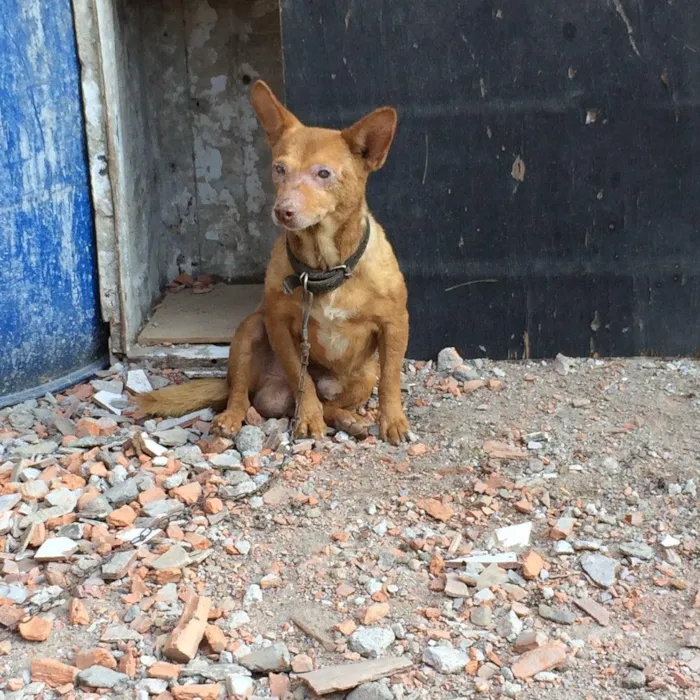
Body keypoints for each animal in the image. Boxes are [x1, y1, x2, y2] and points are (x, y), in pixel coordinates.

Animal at [137, 80, 410, 442]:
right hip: (249, 331)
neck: (323, 267)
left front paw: (393, 421)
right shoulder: (279, 325)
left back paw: (348, 419)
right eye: (280, 169)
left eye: (324, 174)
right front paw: (308, 417)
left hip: (362, 378)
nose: (283, 211)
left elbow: (391, 380)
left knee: (333, 401)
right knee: (242, 392)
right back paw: (232, 417)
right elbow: (300, 379)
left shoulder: (396, 324)